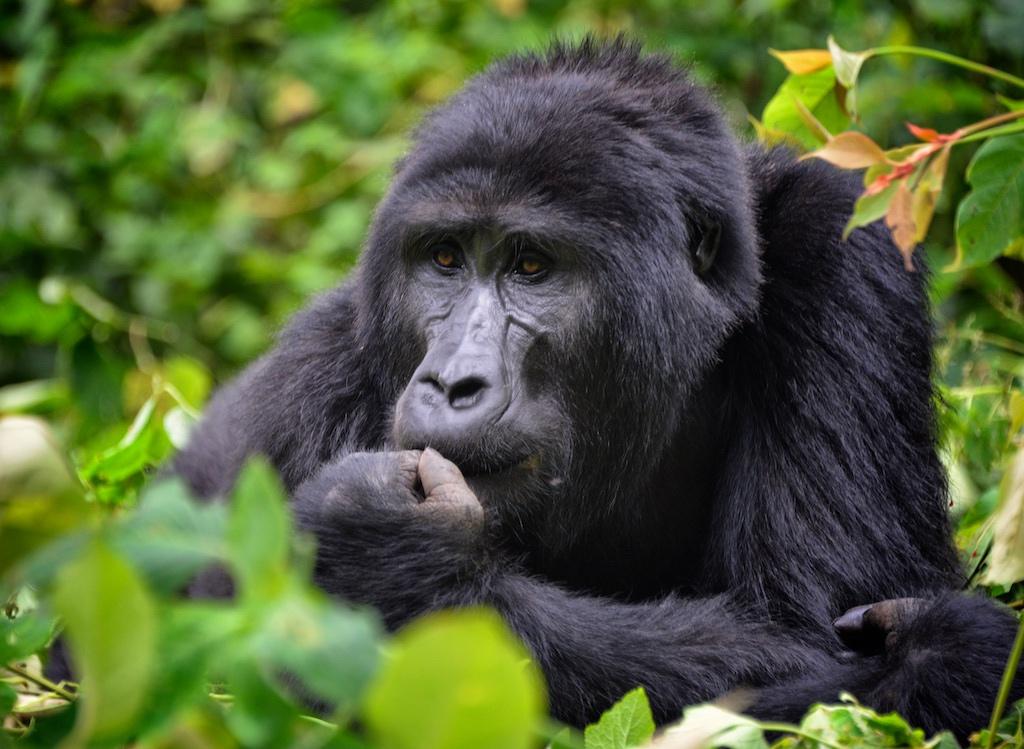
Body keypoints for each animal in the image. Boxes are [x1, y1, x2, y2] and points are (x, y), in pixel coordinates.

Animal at [178, 39, 1024, 737]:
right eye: (444, 258)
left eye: (531, 266)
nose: (452, 380)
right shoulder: (304, 394)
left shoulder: (840, 247)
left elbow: (812, 630)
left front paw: (395, 565)